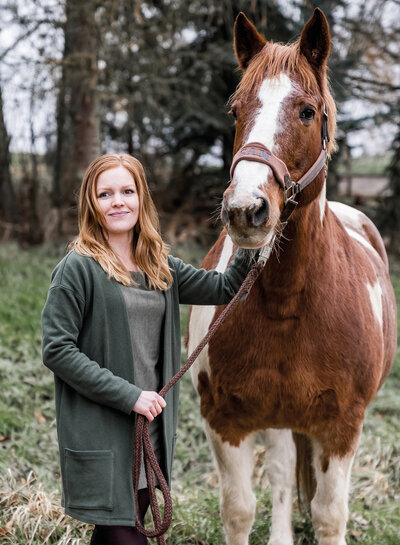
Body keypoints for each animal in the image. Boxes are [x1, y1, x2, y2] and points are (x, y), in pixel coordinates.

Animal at [188, 8, 396, 544]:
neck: (289, 301)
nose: (246, 209)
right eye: (235, 111)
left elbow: (329, 515)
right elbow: (239, 510)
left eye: (306, 111)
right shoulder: (225, 420)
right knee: (282, 472)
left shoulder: (341, 427)